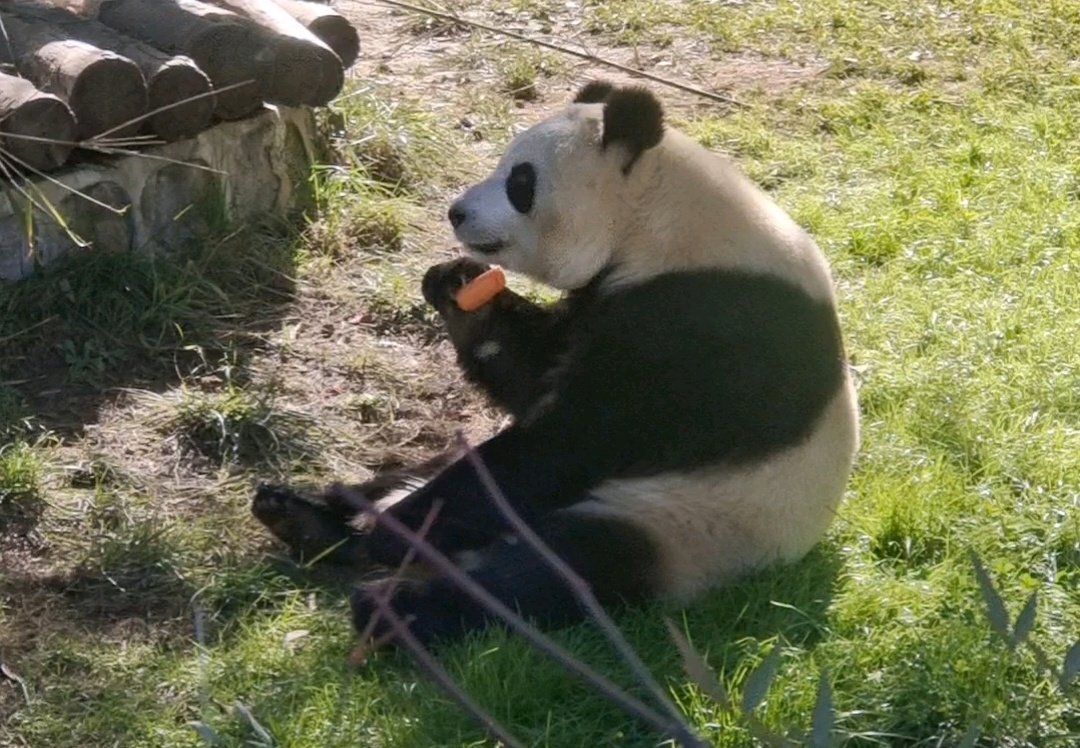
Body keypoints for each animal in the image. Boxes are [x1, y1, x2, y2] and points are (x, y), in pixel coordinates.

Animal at [252, 78, 859, 643]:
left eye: (520, 182)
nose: (457, 213)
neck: (657, 217)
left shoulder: (702, 321)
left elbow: (575, 438)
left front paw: (392, 529)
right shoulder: (605, 295)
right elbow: (534, 377)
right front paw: (461, 290)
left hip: (689, 523)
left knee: (564, 568)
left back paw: (393, 602)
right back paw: (310, 515)